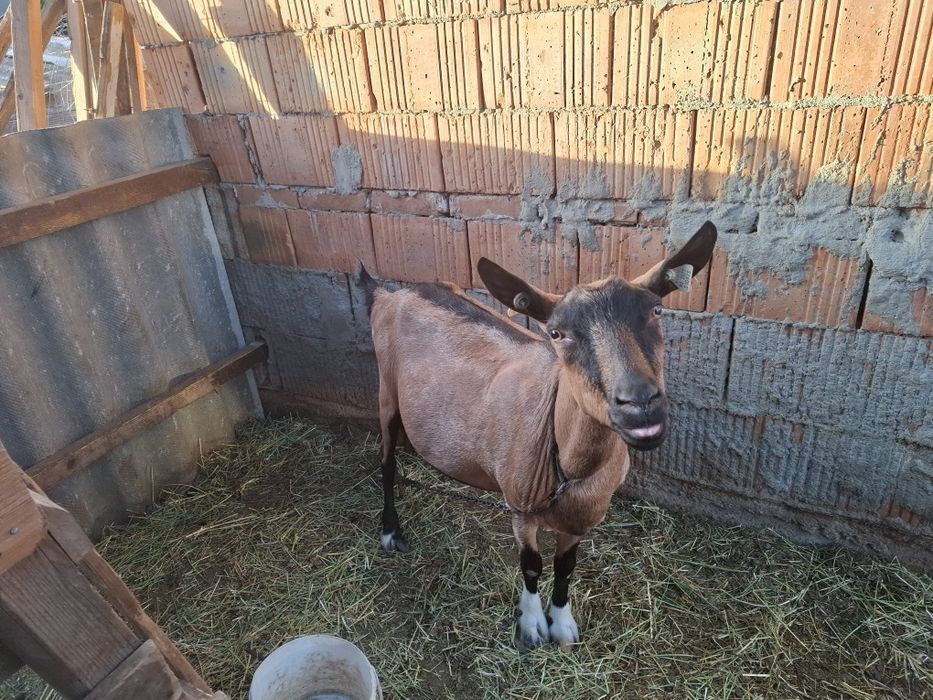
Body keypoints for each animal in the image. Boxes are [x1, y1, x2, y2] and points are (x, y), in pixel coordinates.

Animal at [358, 221, 717, 648]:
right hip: (385, 393)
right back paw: (390, 532)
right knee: (386, 465)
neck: (568, 468)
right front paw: (531, 626)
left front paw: (561, 624)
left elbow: (565, 567)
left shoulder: (581, 520)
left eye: (657, 310)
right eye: (557, 333)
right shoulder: (519, 505)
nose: (640, 403)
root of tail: (388, 292)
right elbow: (531, 565)